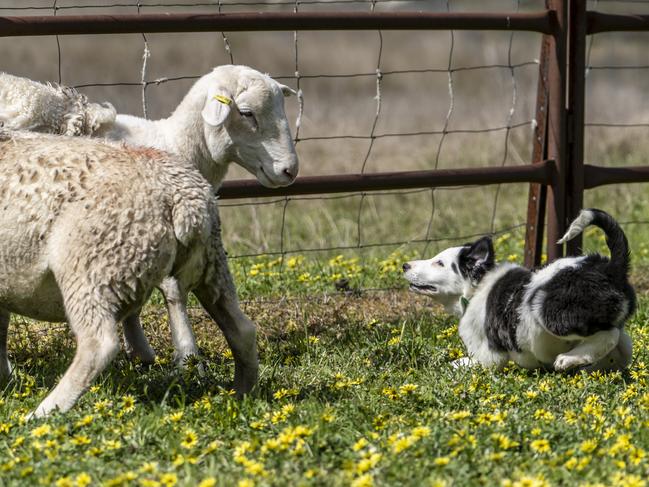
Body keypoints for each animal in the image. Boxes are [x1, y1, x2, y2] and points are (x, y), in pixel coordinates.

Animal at [0, 65, 302, 370]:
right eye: (247, 113)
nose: (289, 170)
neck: (178, 145)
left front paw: (140, 351)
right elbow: (174, 292)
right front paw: (186, 355)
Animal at [0, 131, 258, 420]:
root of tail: (184, 197)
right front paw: (6, 380)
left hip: (92, 267)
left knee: (99, 343)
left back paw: (45, 411)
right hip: (212, 267)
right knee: (242, 329)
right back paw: (241, 393)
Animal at [402, 208, 636, 372]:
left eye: (439, 263)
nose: (405, 265)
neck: (476, 289)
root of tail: (609, 267)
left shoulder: (489, 356)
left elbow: (460, 363)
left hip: (553, 312)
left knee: (610, 335)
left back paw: (567, 360)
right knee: (623, 344)